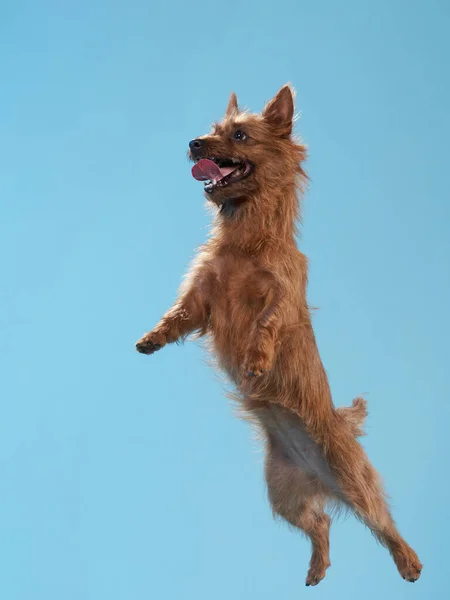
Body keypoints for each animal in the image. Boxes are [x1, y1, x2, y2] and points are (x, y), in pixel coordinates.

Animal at [136, 84, 422, 584]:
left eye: (240, 135)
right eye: (212, 130)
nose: (194, 143)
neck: (246, 237)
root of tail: (321, 479)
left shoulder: (282, 294)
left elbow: (267, 323)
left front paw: (256, 360)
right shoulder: (202, 295)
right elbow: (177, 314)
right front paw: (153, 338)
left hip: (352, 478)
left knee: (382, 521)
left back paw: (409, 562)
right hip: (282, 494)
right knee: (321, 522)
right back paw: (317, 568)